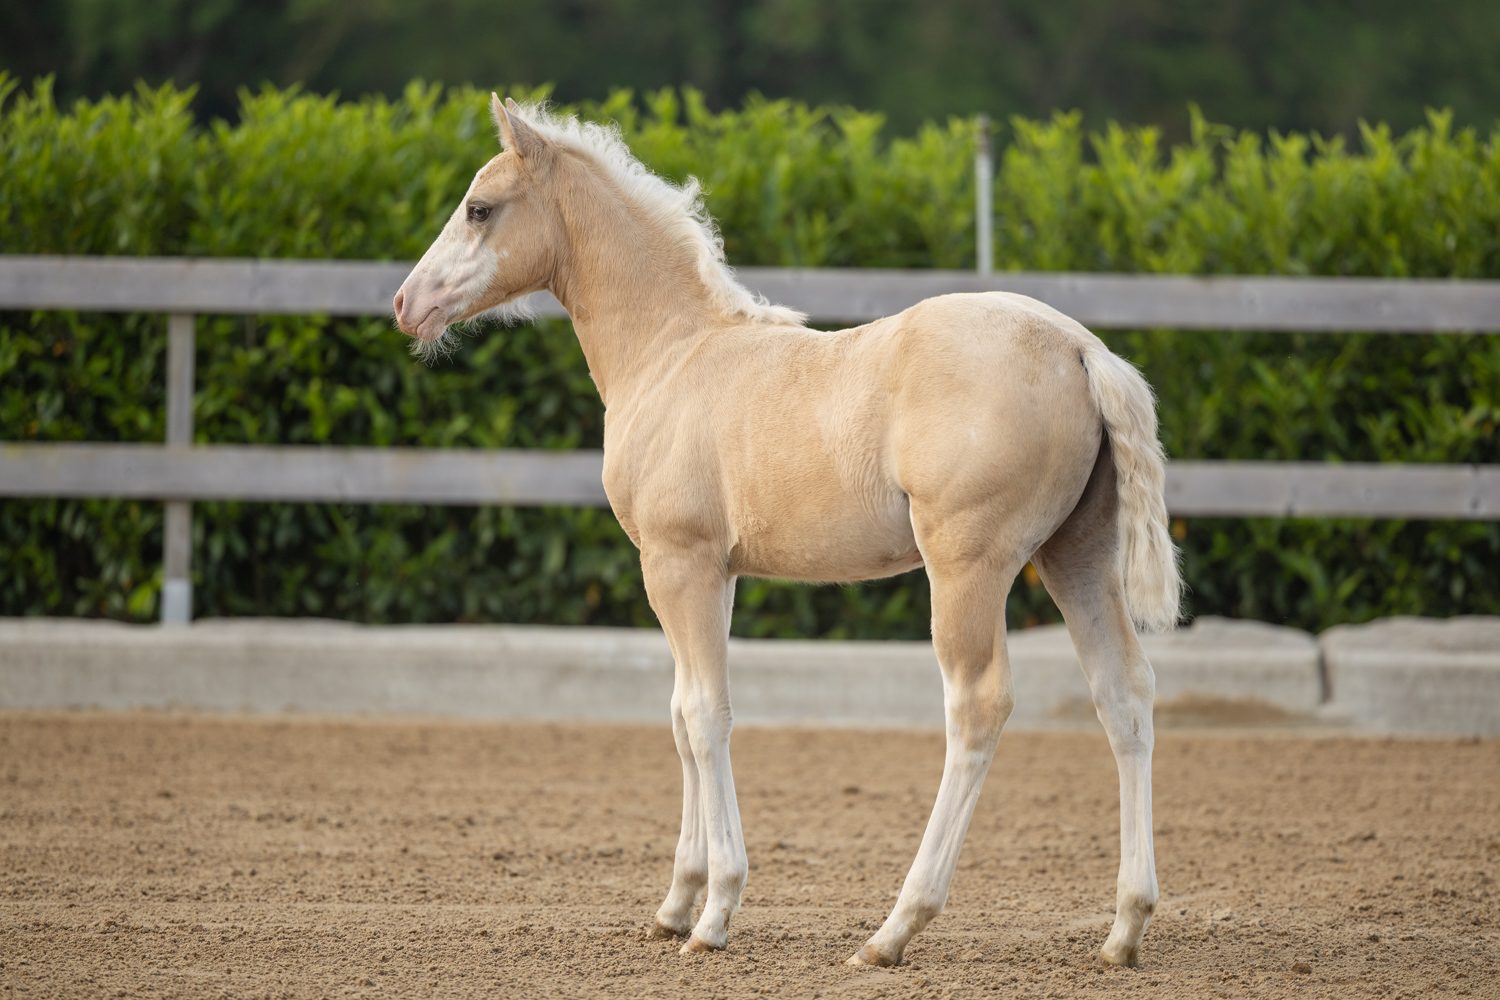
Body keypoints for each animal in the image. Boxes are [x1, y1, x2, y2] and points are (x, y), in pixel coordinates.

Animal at [393, 94, 1180, 969]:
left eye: (480, 208)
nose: (406, 305)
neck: (672, 353)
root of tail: (1082, 349)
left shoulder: (676, 563)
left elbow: (707, 715)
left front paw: (714, 915)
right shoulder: (715, 573)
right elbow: (682, 712)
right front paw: (675, 904)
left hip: (967, 567)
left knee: (977, 707)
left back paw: (893, 930)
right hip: (1076, 555)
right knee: (1125, 695)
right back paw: (1124, 928)